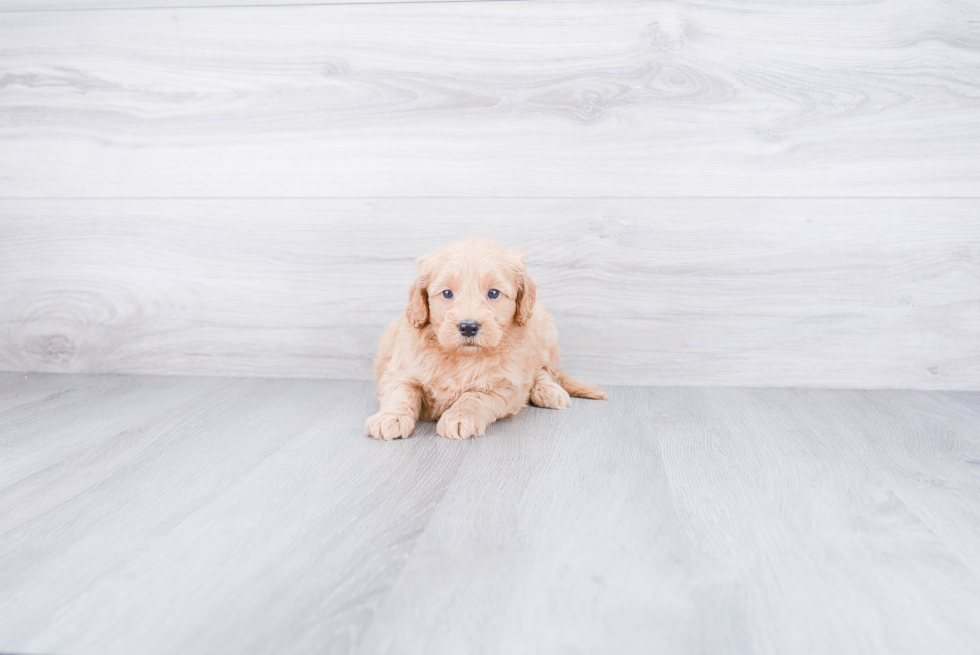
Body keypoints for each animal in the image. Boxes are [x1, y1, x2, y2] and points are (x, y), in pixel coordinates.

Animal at [366, 236, 604, 440]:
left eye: (493, 293)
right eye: (447, 293)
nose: (468, 327)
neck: (462, 357)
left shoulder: (504, 385)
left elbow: (475, 397)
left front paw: (459, 418)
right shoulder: (400, 370)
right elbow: (401, 393)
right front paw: (389, 418)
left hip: (545, 333)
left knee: (544, 371)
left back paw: (549, 391)